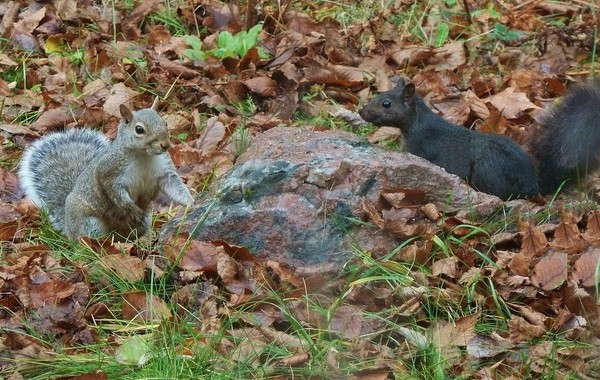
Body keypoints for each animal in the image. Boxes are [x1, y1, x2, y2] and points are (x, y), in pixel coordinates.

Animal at [19, 102, 192, 239]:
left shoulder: (164, 170)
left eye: (165, 122)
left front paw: (190, 202)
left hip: (142, 223)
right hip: (89, 224)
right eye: (139, 129)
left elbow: (175, 187)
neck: (144, 156)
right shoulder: (109, 171)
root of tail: (68, 228)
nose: (165, 145)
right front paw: (132, 208)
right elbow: (116, 194)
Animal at [358, 78, 600, 200]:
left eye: (386, 104)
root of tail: (533, 186)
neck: (417, 124)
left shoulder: (422, 149)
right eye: (378, 95)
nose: (362, 112)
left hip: (486, 170)